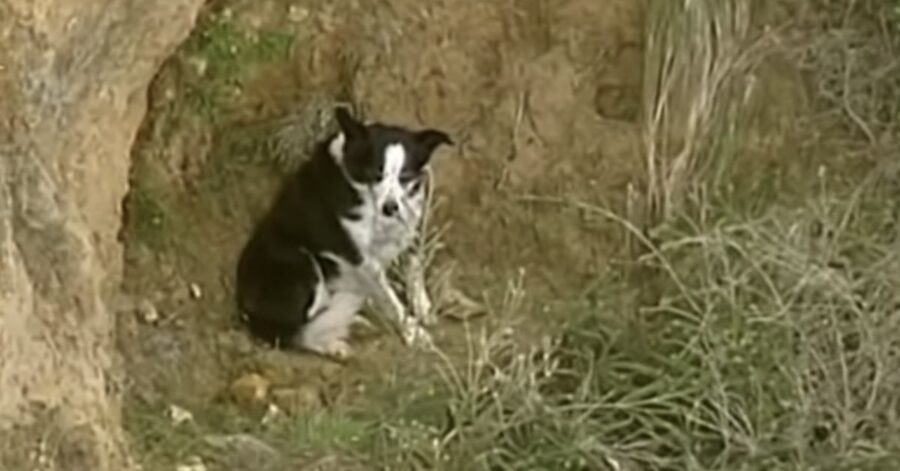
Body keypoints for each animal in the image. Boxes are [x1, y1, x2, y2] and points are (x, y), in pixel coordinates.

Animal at [236, 106, 454, 358]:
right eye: (374, 172)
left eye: (406, 176)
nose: (390, 207)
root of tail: (245, 309)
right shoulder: (363, 261)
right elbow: (392, 302)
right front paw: (414, 333)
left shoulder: (407, 229)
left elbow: (414, 268)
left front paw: (422, 307)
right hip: (303, 263)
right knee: (294, 334)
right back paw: (332, 342)